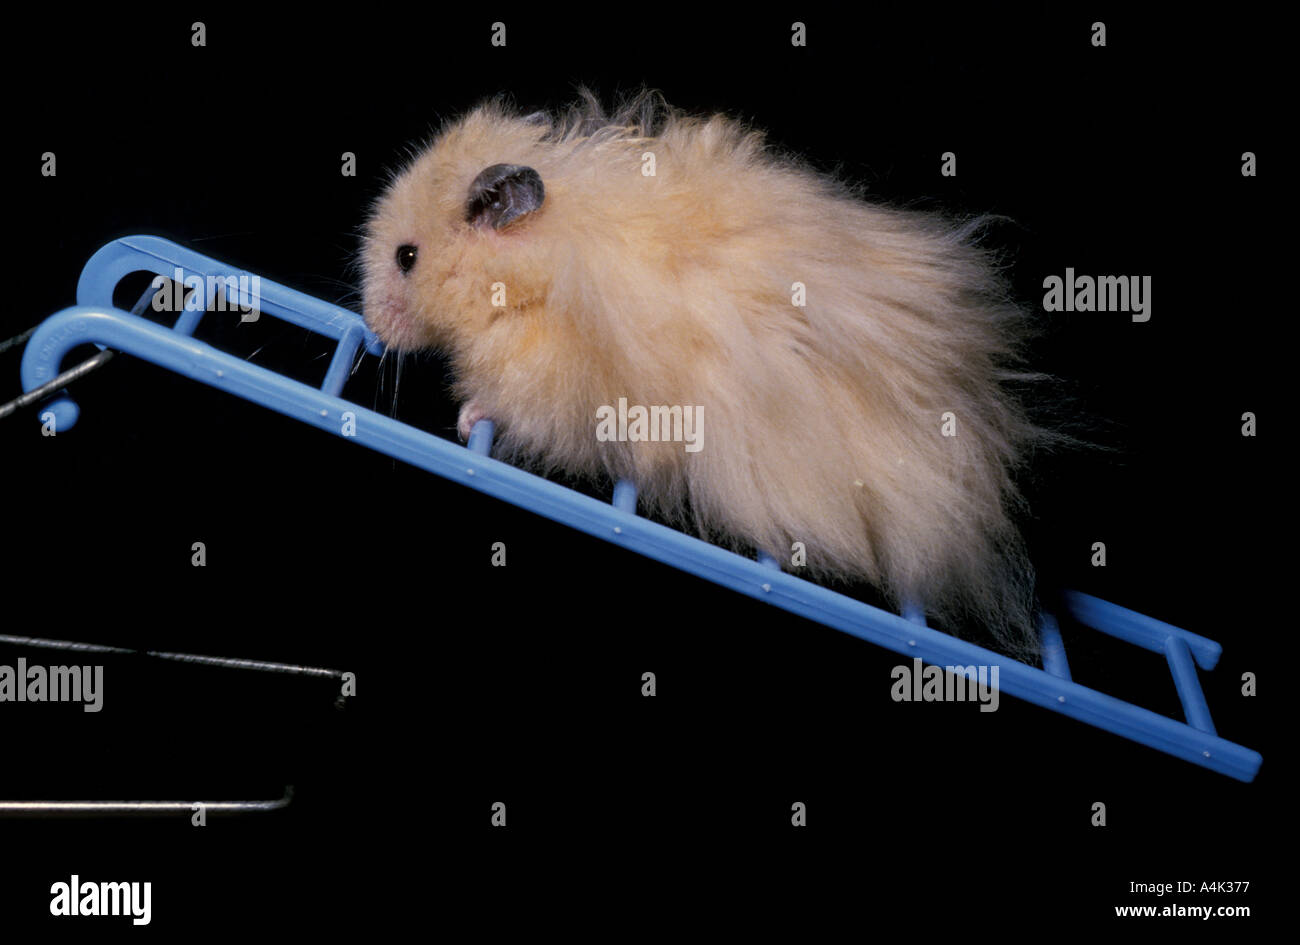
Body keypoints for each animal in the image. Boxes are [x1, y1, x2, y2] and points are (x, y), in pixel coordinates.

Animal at [361, 89, 1050, 657]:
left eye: (406, 257)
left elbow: (506, 409)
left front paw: (463, 416)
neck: (526, 269)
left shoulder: (549, 384)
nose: (369, 323)